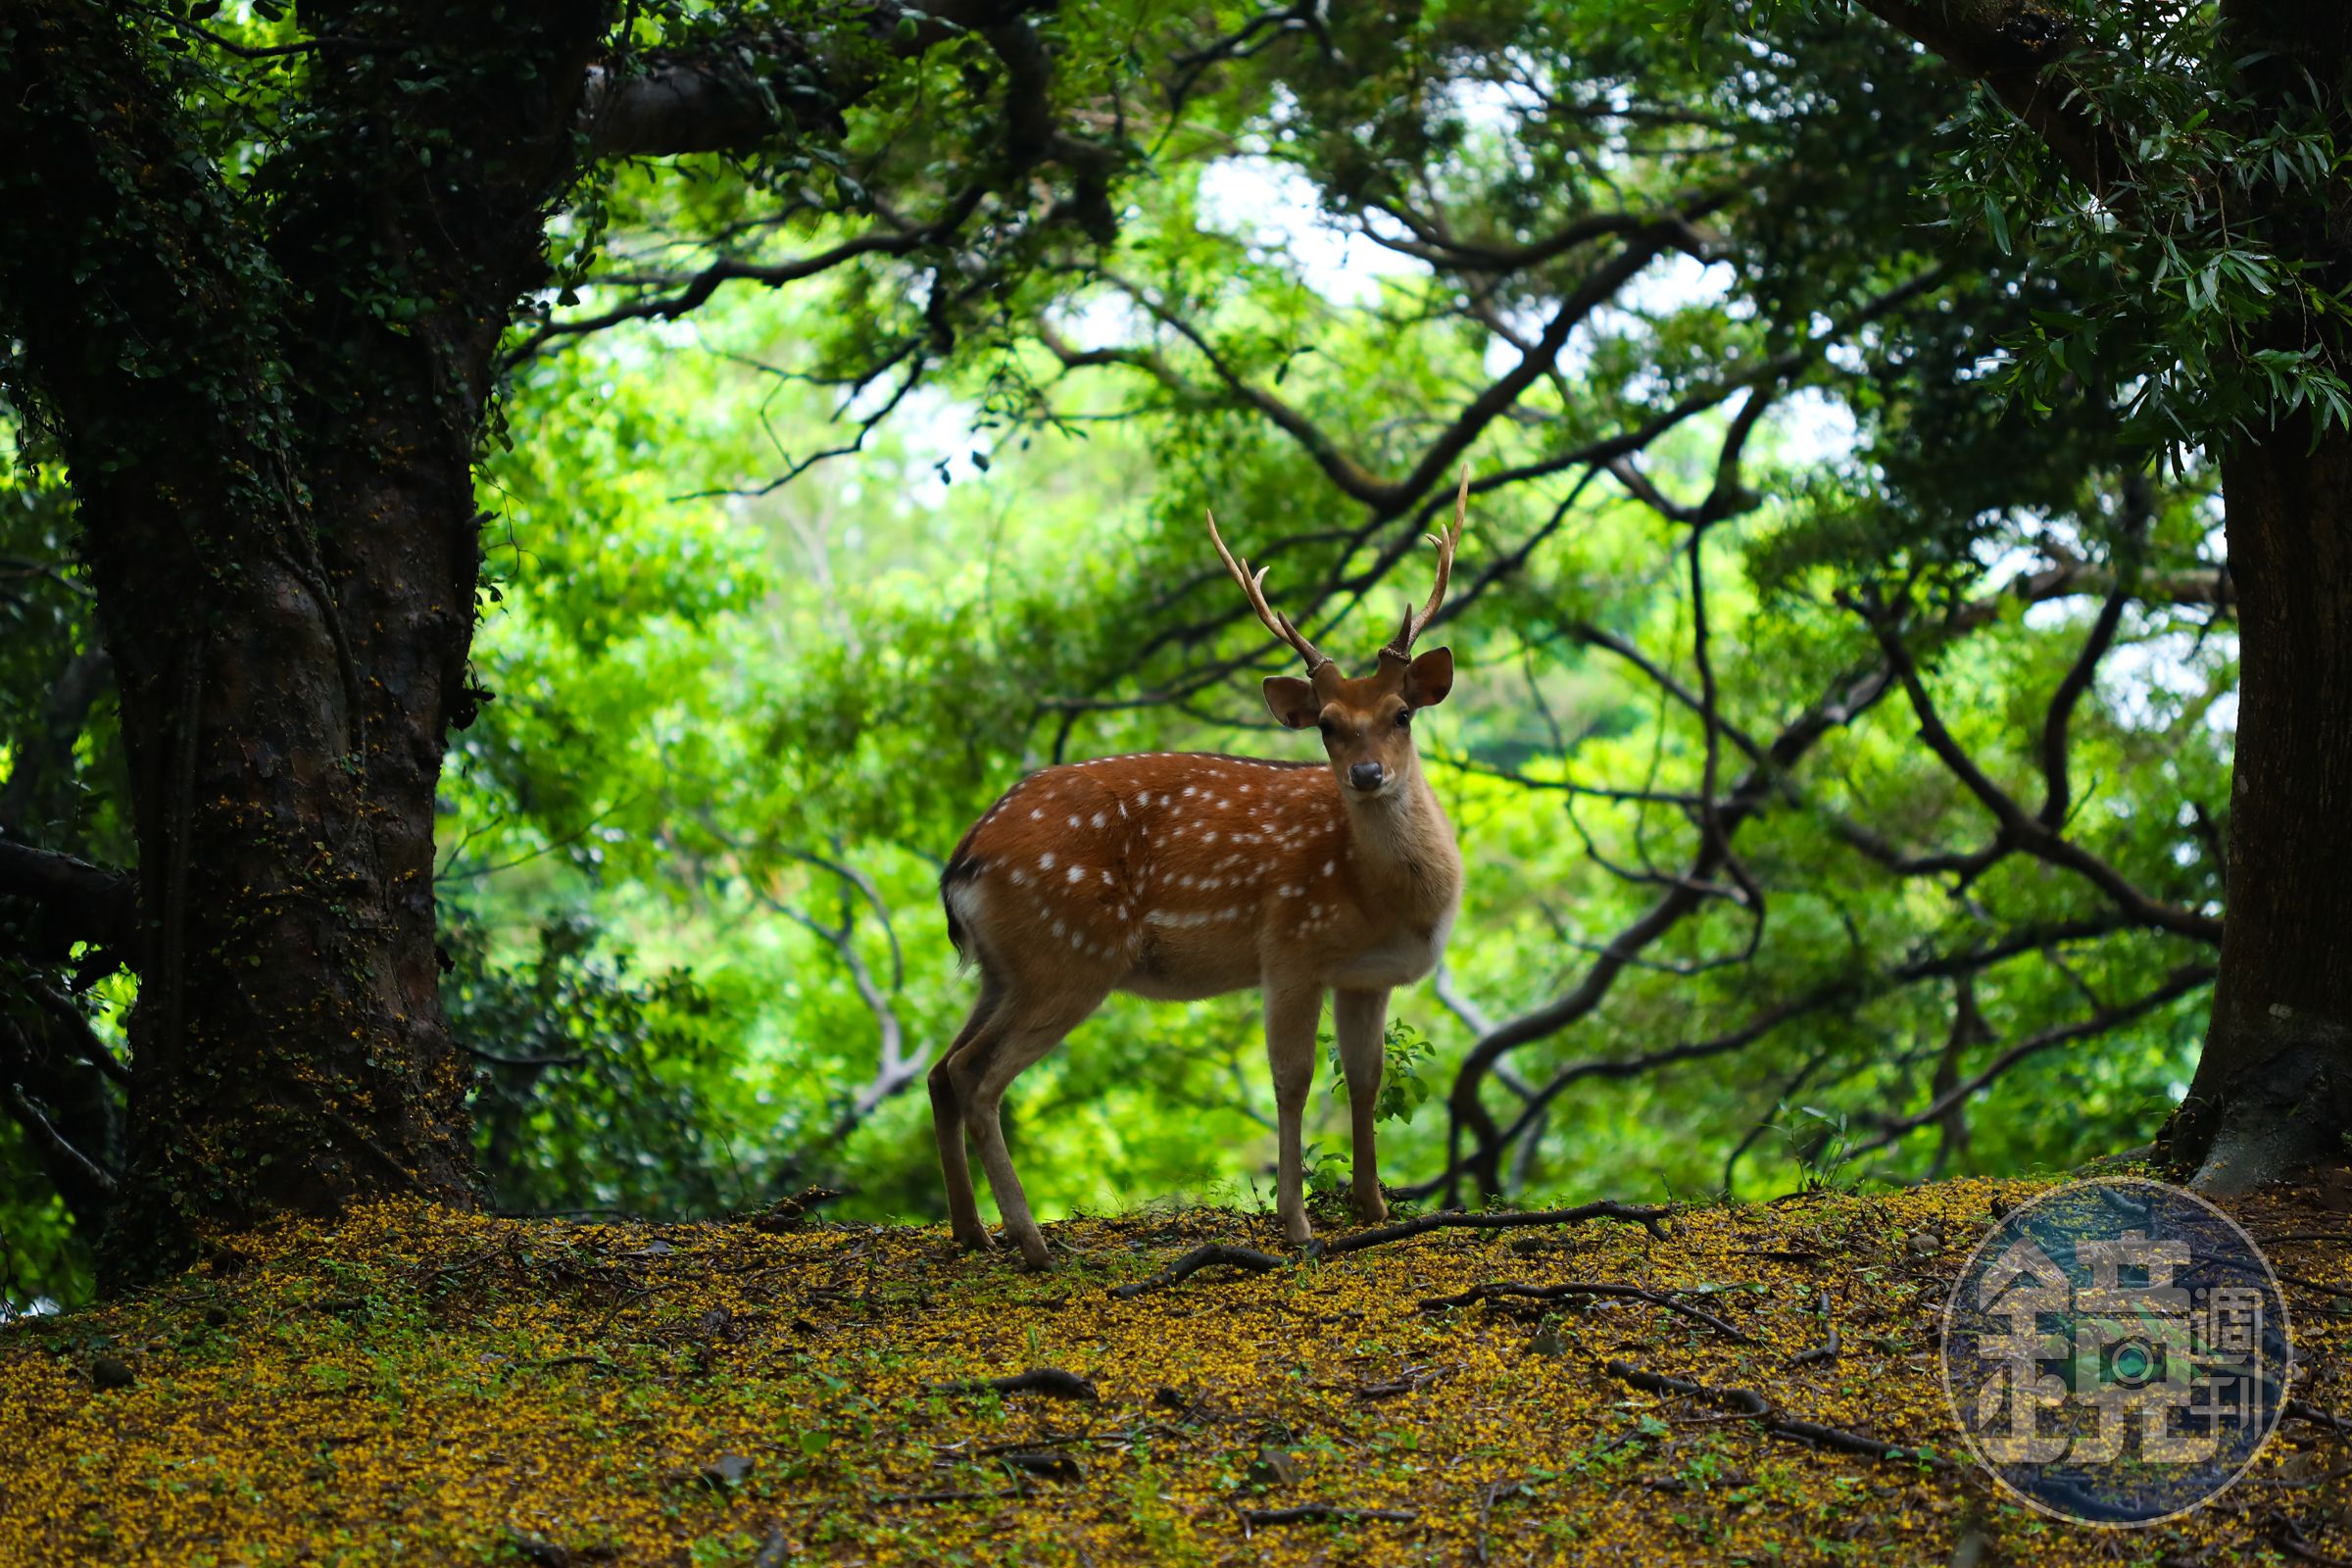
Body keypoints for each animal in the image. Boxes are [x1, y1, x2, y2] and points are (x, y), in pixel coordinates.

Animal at [928, 475, 1470, 1269]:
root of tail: (961, 863)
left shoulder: (1363, 976)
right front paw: (1296, 1225)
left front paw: (1372, 1207)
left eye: (1402, 713)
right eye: (1327, 725)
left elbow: (1365, 1082)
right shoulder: (1291, 945)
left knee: (942, 1070)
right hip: (1069, 953)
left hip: (1006, 968)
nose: (1368, 775)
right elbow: (1293, 1081)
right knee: (976, 1075)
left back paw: (972, 1232)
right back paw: (1034, 1243)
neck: (1385, 899)